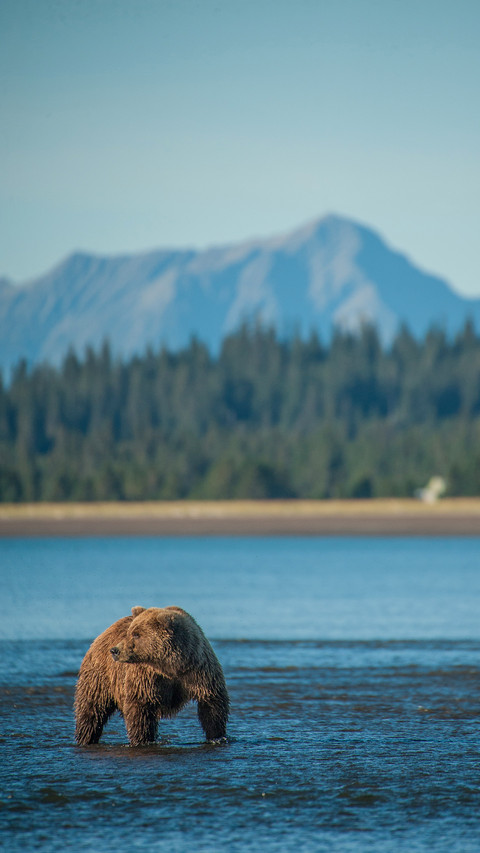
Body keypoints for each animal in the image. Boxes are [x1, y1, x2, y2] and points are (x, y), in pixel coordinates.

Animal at [74, 605, 229, 746]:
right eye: (129, 632)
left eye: (136, 634)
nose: (115, 650)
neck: (171, 666)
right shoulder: (147, 677)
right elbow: (140, 707)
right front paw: (143, 740)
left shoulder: (198, 671)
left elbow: (211, 703)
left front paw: (216, 736)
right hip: (100, 676)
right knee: (92, 709)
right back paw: (85, 737)